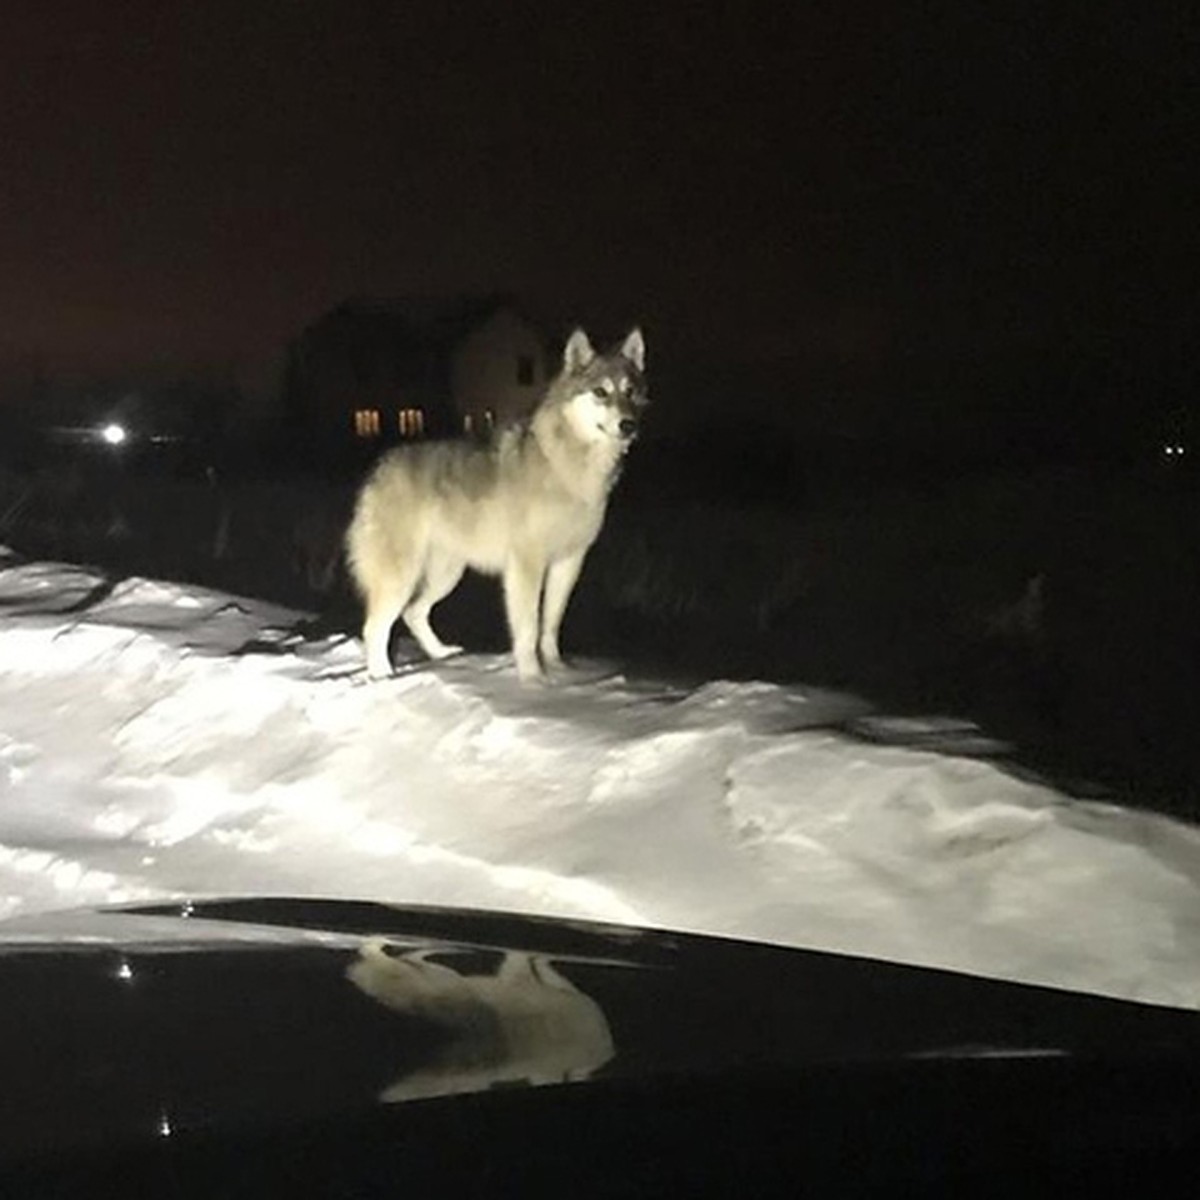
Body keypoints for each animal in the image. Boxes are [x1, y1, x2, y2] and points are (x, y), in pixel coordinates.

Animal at [345, 326, 648, 686]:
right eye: (601, 392)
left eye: (630, 392)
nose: (629, 425)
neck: (566, 463)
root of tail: (380, 468)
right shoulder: (526, 565)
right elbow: (528, 628)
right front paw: (533, 679)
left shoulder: (569, 562)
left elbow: (551, 624)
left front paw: (558, 671)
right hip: (402, 576)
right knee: (375, 626)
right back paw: (382, 676)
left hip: (447, 573)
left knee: (413, 613)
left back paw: (441, 653)